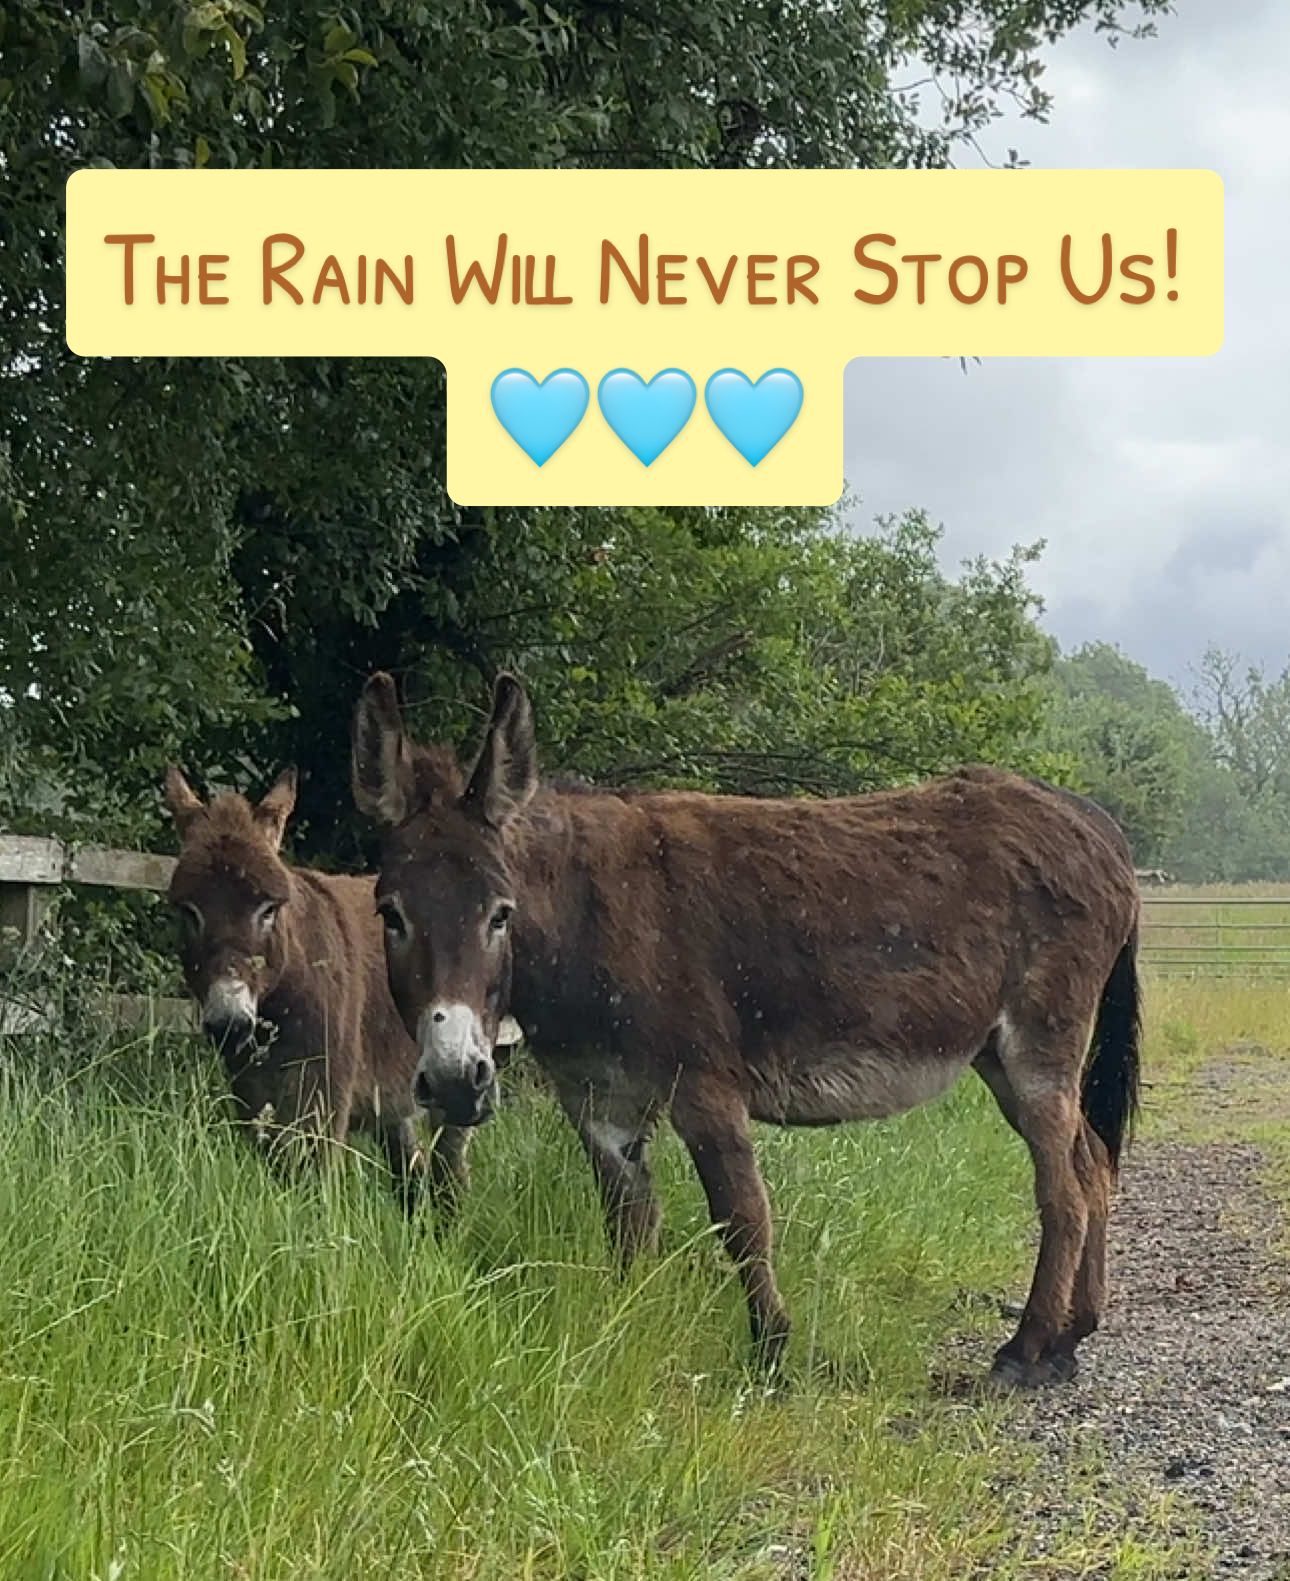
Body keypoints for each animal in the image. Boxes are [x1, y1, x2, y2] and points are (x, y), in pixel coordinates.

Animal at [350, 674, 1140, 1386]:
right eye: (390, 914)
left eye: (499, 914)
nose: (456, 1082)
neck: (587, 918)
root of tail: (1091, 818)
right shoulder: (600, 1104)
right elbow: (629, 1225)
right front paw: (627, 1330)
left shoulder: (705, 1086)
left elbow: (742, 1219)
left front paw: (772, 1352)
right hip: (998, 1056)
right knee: (1093, 1162)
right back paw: (1070, 1338)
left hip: (1040, 1043)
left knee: (1062, 1192)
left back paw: (1023, 1351)